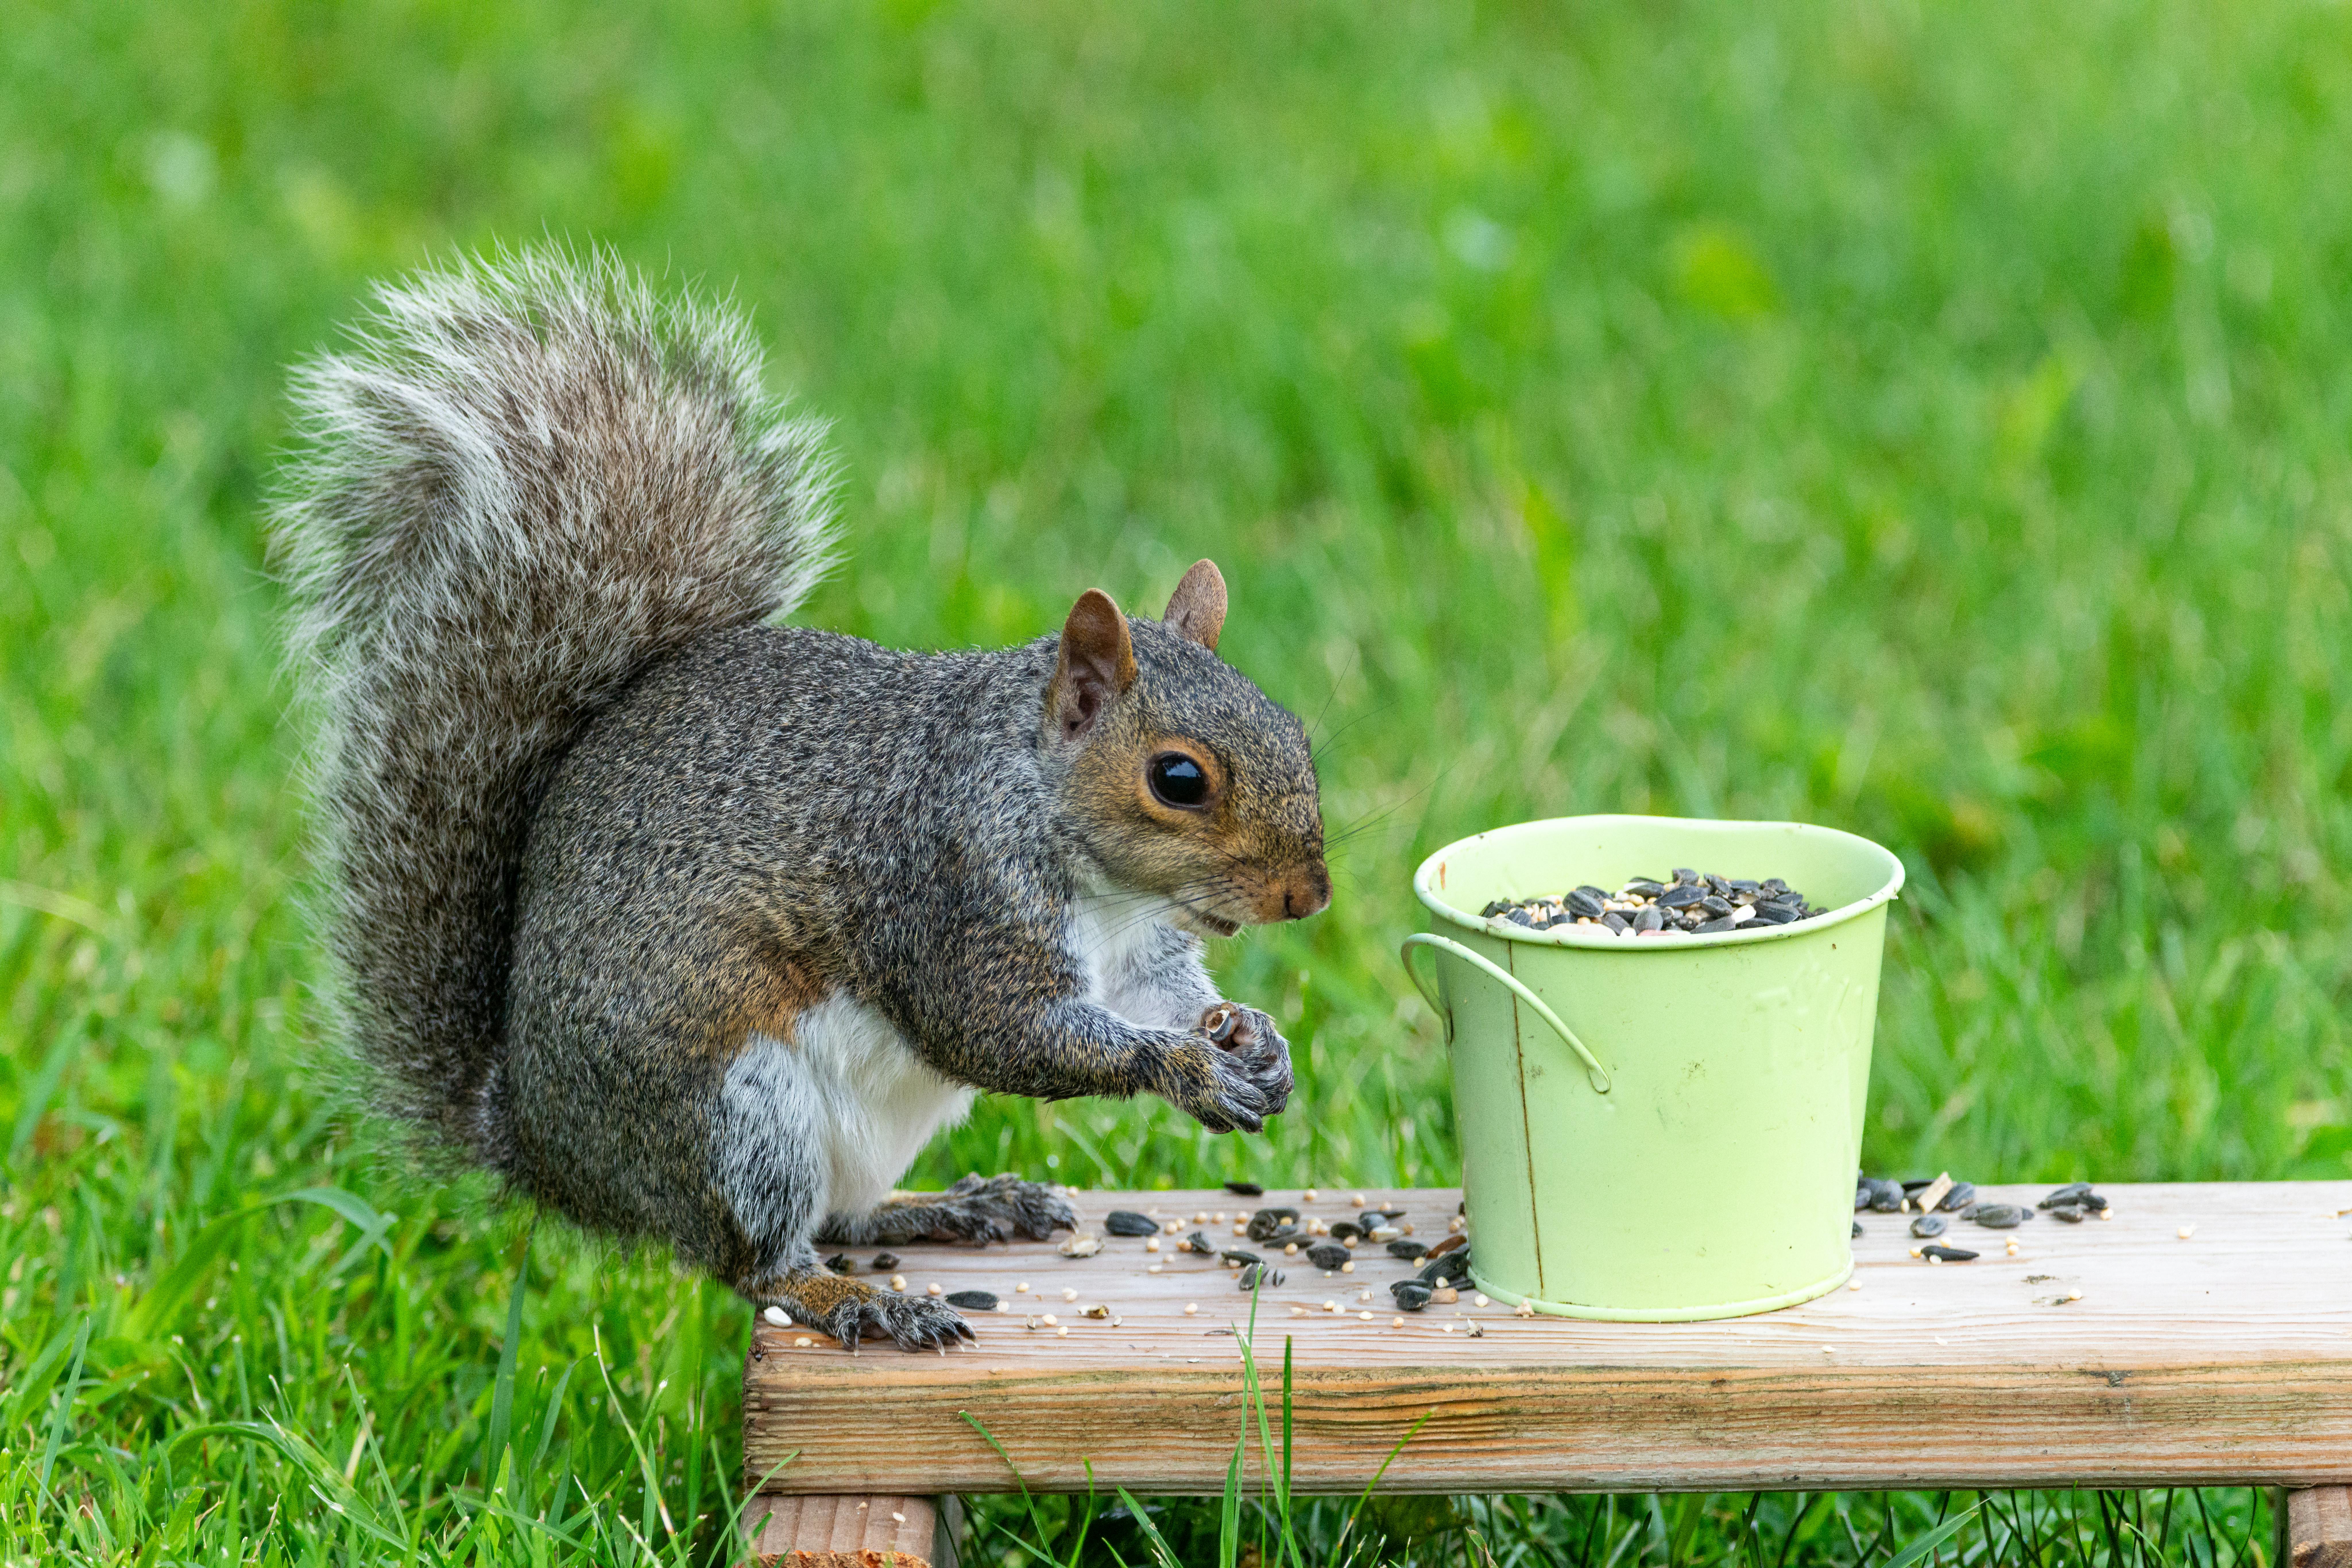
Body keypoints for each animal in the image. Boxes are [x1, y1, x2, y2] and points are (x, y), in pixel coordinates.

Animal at [271, 249, 1330, 1351]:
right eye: (1179, 779)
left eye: (1293, 729)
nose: (1309, 896)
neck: (1102, 878)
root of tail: (547, 1148)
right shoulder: (950, 891)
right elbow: (999, 1030)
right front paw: (1191, 1070)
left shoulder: (1135, 950)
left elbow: (1157, 995)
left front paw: (1255, 1040)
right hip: (739, 1117)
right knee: (759, 1262)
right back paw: (856, 1297)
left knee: (848, 1213)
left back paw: (961, 1207)